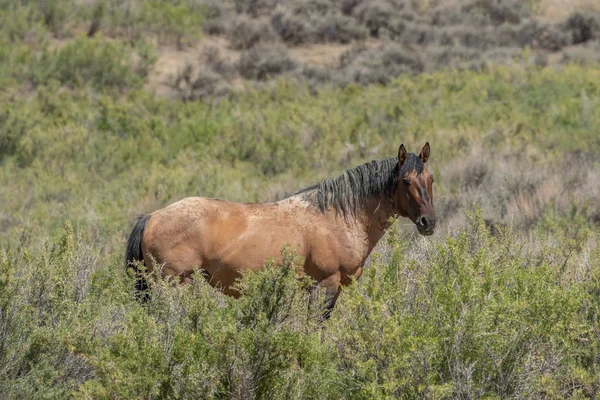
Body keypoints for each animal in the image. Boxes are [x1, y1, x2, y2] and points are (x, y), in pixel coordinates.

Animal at [125, 142, 436, 314]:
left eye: (431, 178)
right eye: (405, 181)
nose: (429, 222)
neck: (339, 216)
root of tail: (152, 216)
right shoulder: (326, 285)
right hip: (174, 285)